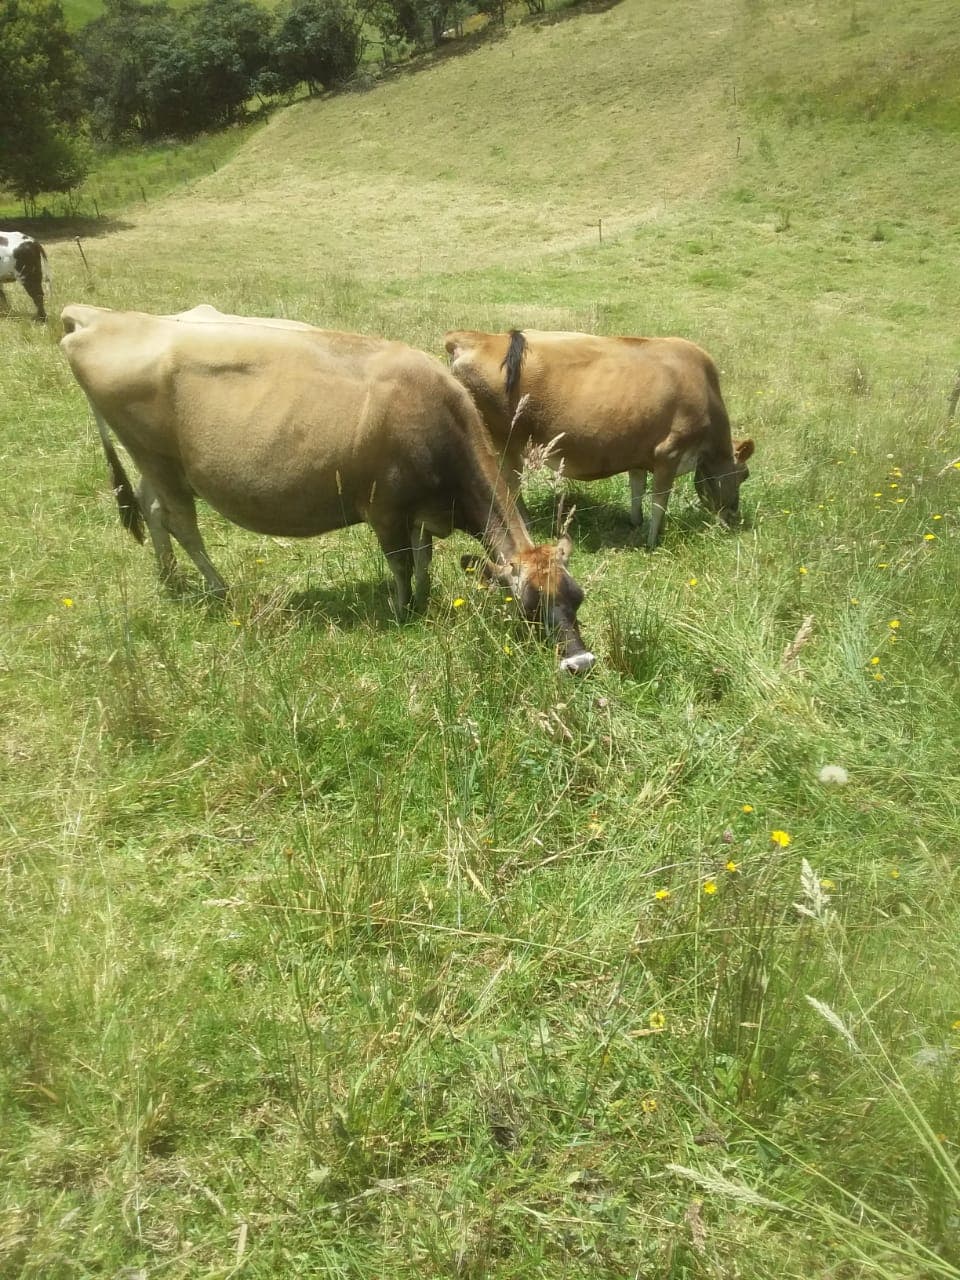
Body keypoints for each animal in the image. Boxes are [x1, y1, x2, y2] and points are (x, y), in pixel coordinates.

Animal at [59, 304, 596, 674]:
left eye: (578, 597)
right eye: (529, 607)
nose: (580, 662)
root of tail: (94, 318)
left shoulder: (421, 509)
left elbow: (423, 555)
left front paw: (424, 597)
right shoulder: (383, 507)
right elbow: (401, 561)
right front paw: (402, 611)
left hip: (155, 461)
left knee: (153, 510)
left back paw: (171, 580)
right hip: (156, 456)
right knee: (181, 522)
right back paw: (218, 589)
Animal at [443, 328, 755, 548]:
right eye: (745, 474)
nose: (733, 515)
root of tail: (476, 337)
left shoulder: (640, 455)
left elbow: (637, 489)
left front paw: (635, 522)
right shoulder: (669, 452)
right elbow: (659, 502)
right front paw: (653, 540)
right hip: (503, 440)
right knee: (509, 481)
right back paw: (527, 521)